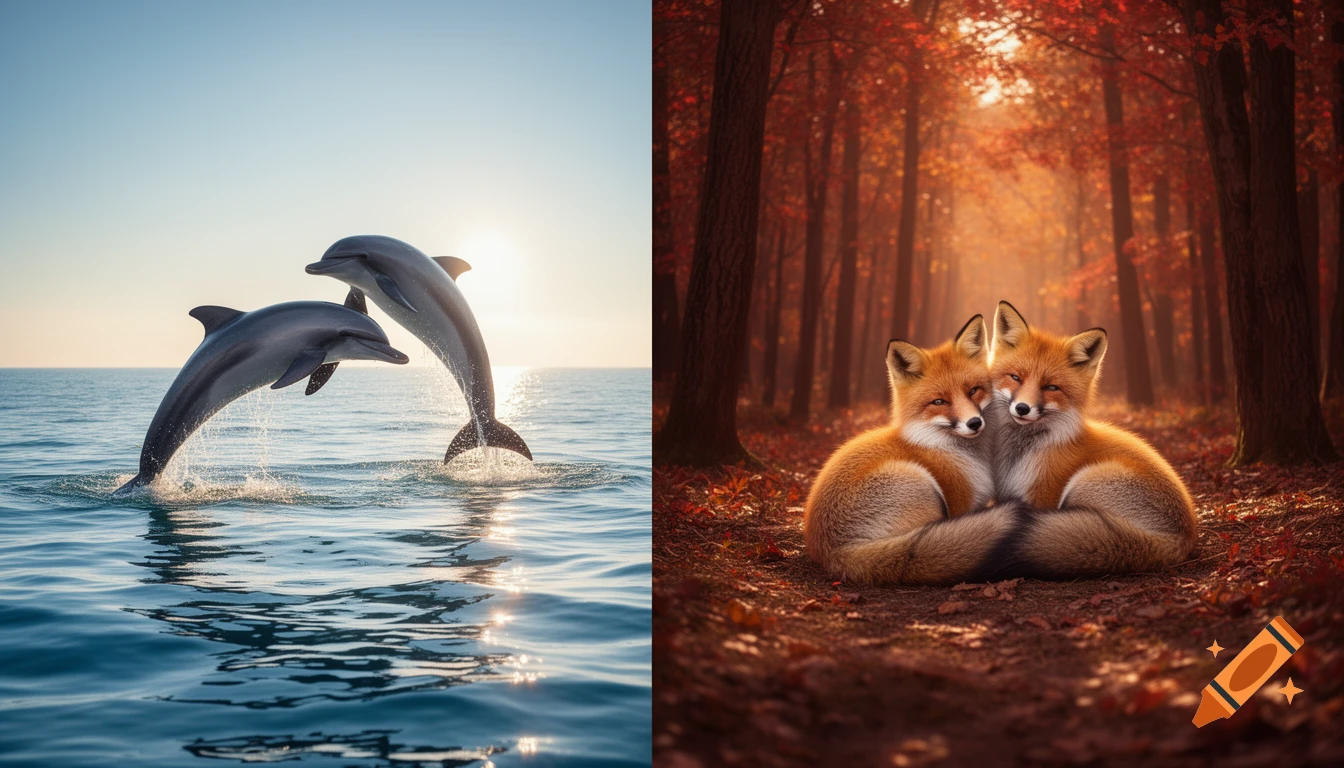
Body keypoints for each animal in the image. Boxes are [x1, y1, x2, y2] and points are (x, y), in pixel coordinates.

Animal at [804, 316, 1017, 586]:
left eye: (973, 390)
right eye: (939, 402)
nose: (974, 423)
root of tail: (835, 554)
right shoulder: (961, 504)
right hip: (922, 486)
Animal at [982, 300, 1197, 579]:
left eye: (1051, 387)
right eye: (1015, 377)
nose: (1022, 408)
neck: (1020, 455)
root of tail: (1178, 541)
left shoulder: (1041, 496)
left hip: (1083, 483)